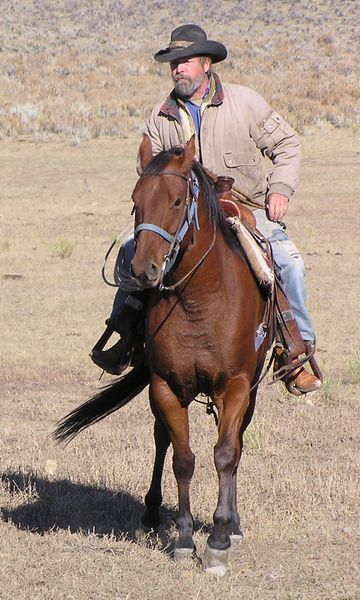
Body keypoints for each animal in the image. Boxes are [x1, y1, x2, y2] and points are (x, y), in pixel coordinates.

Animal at [54, 137, 272, 576]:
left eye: (176, 200)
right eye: (135, 201)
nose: (144, 269)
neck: (199, 301)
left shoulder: (237, 387)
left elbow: (226, 454)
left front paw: (219, 539)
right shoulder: (166, 386)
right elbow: (182, 459)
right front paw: (185, 539)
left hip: (250, 392)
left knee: (236, 444)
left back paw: (234, 523)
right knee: (161, 442)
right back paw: (151, 514)